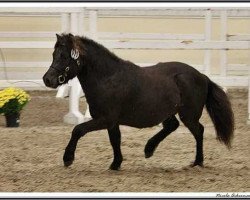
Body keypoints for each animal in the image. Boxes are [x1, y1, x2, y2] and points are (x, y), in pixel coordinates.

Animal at [43, 33, 234, 170]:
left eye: (64, 56)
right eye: (53, 54)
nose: (47, 79)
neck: (107, 78)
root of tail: (202, 76)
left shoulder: (105, 119)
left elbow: (78, 130)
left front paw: (68, 159)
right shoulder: (112, 122)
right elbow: (115, 140)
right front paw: (116, 164)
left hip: (189, 115)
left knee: (198, 131)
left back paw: (197, 162)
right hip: (168, 112)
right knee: (172, 126)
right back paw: (149, 149)